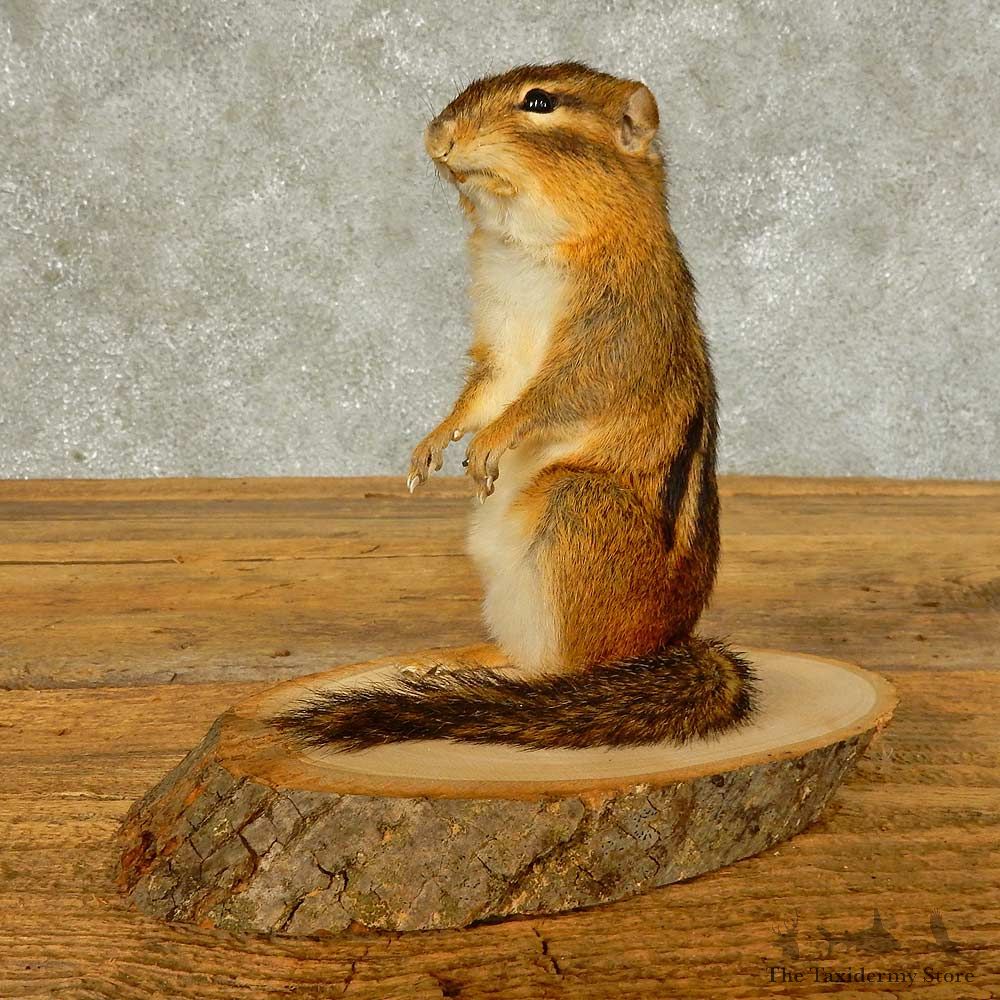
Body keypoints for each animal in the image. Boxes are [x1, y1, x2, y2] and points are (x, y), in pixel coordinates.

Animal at [274, 62, 758, 751]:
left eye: (540, 102)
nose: (437, 135)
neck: (528, 244)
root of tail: (672, 647)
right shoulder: (499, 344)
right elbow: (484, 393)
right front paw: (433, 442)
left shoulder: (613, 339)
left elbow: (552, 398)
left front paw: (490, 443)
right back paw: (457, 663)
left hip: (577, 504)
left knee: (575, 670)